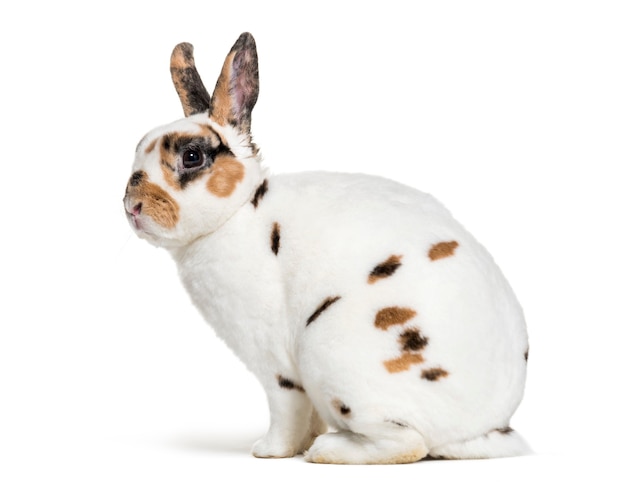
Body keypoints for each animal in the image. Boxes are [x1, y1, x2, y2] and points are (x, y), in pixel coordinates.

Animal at [122, 31, 528, 464]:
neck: (237, 213)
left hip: (333, 356)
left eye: (191, 156)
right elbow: (308, 415)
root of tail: (480, 430)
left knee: (409, 444)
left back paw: (328, 450)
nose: (132, 207)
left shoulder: (276, 364)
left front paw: (269, 451)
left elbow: (285, 409)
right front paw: (299, 442)